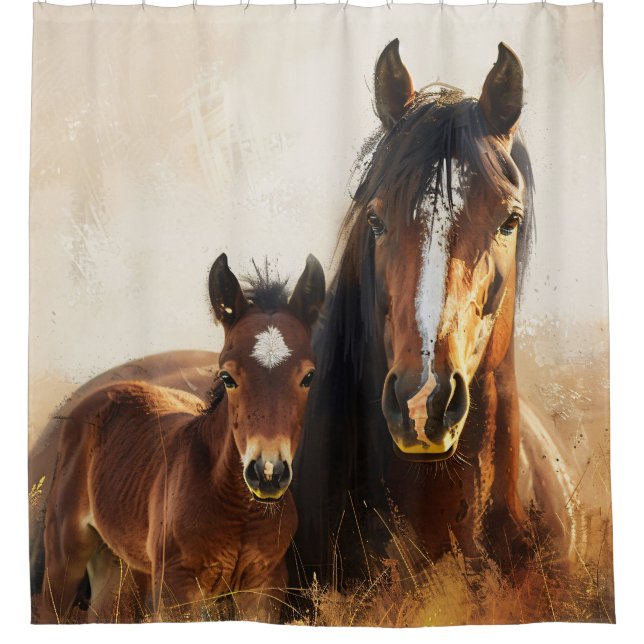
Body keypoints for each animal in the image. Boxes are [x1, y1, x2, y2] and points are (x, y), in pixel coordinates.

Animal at [39, 253, 325, 623]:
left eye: (308, 376)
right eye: (227, 377)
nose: (268, 473)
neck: (238, 510)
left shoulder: (265, 584)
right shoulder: (176, 587)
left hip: (120, 563)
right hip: (65, 551)